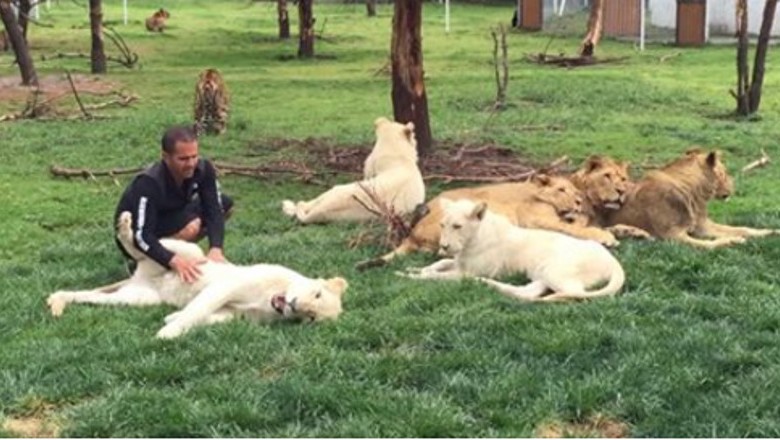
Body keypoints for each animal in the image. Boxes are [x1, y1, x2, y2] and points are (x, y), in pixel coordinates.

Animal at [44, 211, 346, 338]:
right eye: (316, 294)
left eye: (311, 317)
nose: (294, 306)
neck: (271, 300)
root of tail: (139, 277)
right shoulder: (226, 286)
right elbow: (197, 310)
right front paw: (166, 334)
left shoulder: (233, 315)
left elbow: (204, 316)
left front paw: (170, 319)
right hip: (190, 250)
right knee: (141, 246)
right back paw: (127, 223)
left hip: (137, 298)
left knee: (91, 296)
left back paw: (58, 303)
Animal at [356, 174, 620, 270]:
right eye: (561, 189)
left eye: (574, 189)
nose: (578, 200)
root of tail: (412, 234)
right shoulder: (536, 219)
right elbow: (576, 228)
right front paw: (606, 237)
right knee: (441, 252)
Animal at [400, 199, 624, 302]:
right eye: (442, 225)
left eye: (457, 226)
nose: (443, 246)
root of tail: (614, 262)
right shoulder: (457, 262)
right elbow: (439, 263)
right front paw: (413, 269)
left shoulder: (465, 271)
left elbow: (439, 276)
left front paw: (412, 276)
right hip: (540, 272)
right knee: (527, 291)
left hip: (554, 270)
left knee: (572, 292)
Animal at [608, 149, 776, 248]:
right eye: (724, 173)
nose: (733, 186)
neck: (694, 194)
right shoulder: (672, 235)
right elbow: (709, 244)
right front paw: (734, 240)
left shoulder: (703, 226)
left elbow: (742, 229)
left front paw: (771, 231)